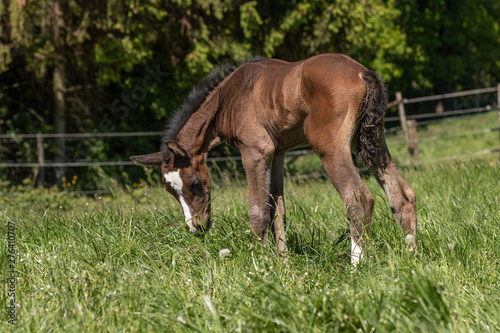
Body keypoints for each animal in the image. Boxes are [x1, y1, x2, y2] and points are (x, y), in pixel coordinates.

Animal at [131, 53, 416, 264]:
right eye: (171, 192)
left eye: (195, 184)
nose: (195, 228)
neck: (229, 97)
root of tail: (361, 72)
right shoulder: (277, 154)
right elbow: (277, 210)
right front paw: (283, 262)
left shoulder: (255, 152)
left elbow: (257, 212)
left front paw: (261, 265)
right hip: (369, 139)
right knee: (402, 194)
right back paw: (411, 254)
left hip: (329, 146)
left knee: (358, 199)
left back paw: (357, 265)